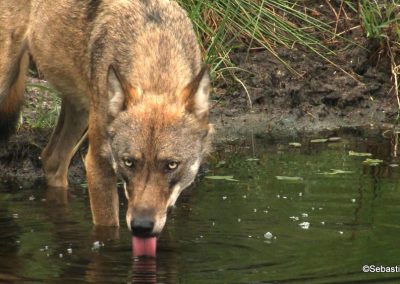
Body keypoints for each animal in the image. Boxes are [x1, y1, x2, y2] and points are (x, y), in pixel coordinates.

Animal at [0, 0, 212, 256]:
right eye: (128, 162)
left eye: (171, 165)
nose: (141, 227)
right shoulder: (97, 163)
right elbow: (108, 228)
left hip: (79, 109)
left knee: (52, 158)